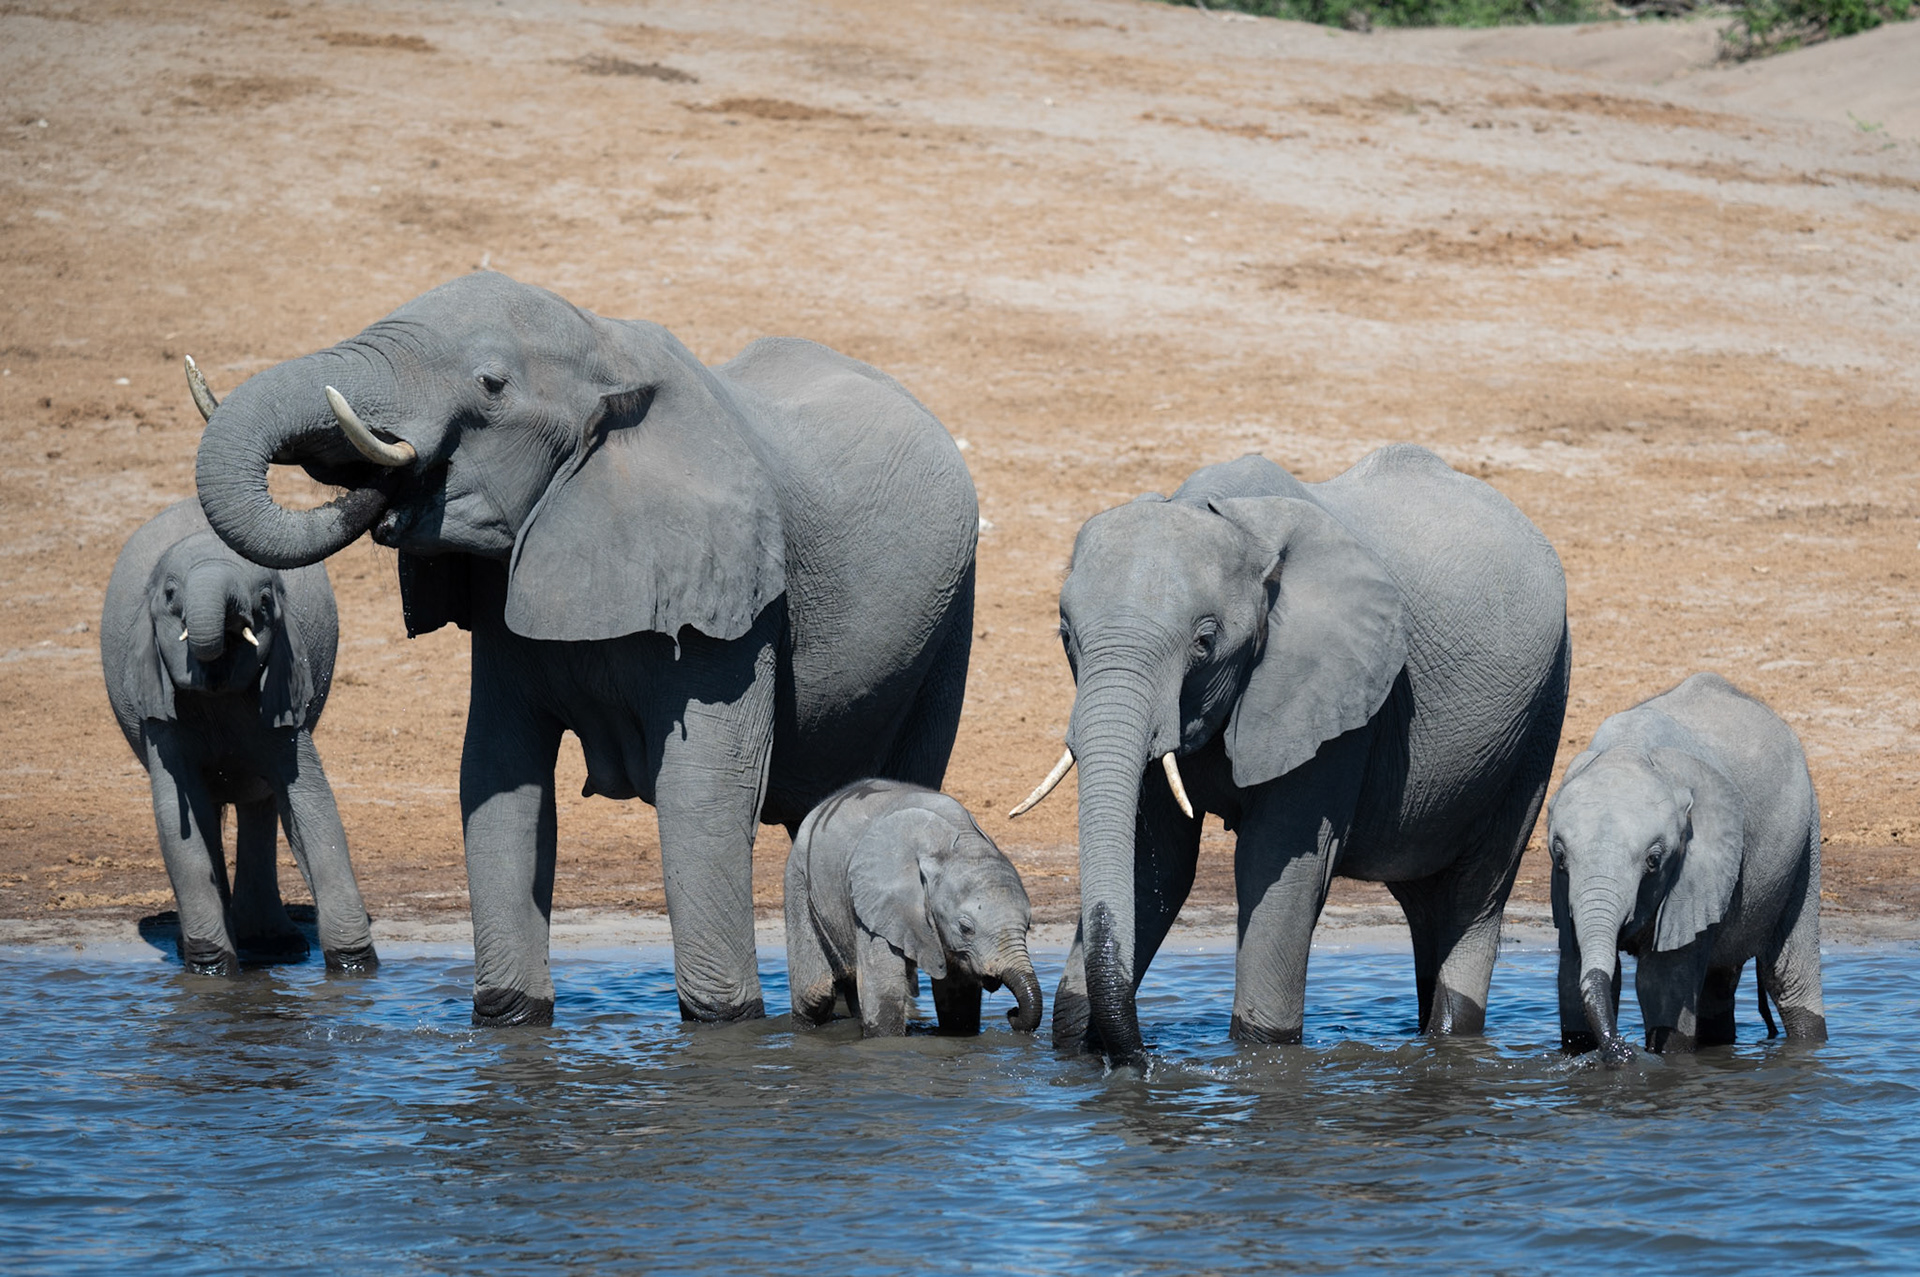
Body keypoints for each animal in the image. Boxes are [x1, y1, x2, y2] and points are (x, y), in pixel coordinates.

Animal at [100, 496, 377, 973]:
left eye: (265, 601)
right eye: (170, 596)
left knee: (260, 802)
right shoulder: (160, 711)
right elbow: (178, 820)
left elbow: (313, 806)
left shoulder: (283, 690)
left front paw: (355, 965)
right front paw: (211, 969)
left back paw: (274, 945)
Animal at [190, 271, 977, 1026]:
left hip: (951, 615)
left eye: (491, 385)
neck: (607, 352)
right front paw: (509, 1016)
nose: (386, 486)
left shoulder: (734, 600)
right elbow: (498, 776)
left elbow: (703, 790)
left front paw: (725, 1022)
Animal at [784, 779, 1041, 1037]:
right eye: (966, 928)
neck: (958, 845)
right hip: (798, 880)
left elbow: (959, 1000)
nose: (1012, 1012)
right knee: (814, 995)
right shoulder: (880, 904)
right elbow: (885, 999)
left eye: (1029, 926)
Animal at [1014, 447, 1569, 1062]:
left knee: (1475, 894)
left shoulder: (1339, 698)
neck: (1232, 520)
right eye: (1066, 635)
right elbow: (1157, 858)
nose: (1142, 1060)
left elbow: (1276, 857)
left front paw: (1262, 1055)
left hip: (1539, 715)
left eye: (1204, 642)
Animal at [1546, 673, 1826, 1065]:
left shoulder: (1696, 870)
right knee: (1718, 986)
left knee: (1789, 979)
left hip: (1805, 840)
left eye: (1654, 860)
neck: (1630, 749)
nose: (1621, 1051)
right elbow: (1574, 972)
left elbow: (1661, 982)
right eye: (1560, 857)